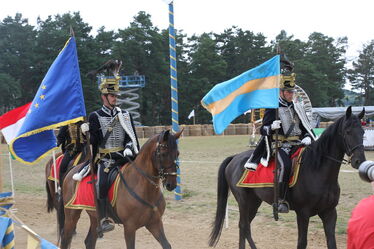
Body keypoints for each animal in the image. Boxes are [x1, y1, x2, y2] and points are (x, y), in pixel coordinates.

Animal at [210, 107, 366, 249]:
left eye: (363, 132)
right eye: (347, 131)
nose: (359, 161)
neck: (318, 170)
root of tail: (235, 157)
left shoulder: (329, 212)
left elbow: (331, 243)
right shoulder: (303, 213)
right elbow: (302, 243)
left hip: (254, 202)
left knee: (243, 225)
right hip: (244, 201)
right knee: (244, 226)